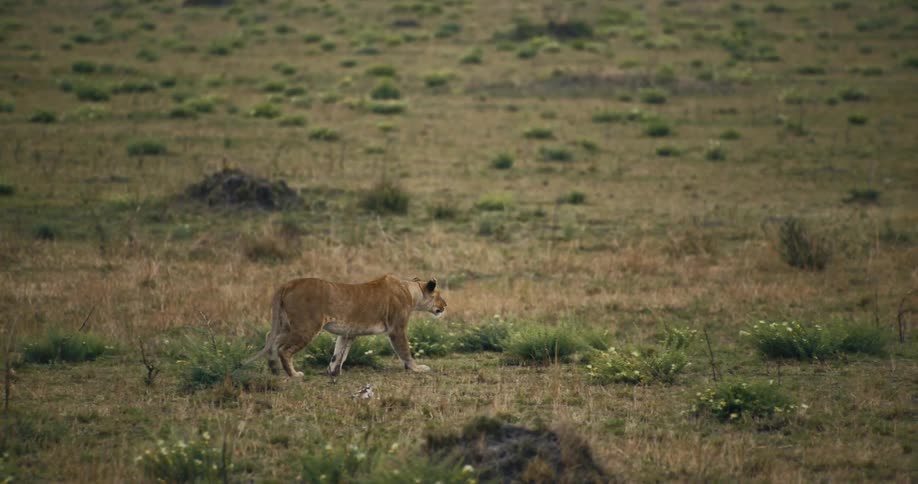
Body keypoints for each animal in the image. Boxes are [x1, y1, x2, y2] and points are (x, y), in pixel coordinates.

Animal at [245, 274, 447, 378]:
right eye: (438, 295)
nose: (445, 305)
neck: (410, 290)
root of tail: (288, 283)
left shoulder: (348, 332)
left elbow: (339, 353)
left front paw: (333, 371)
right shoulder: (396, 328)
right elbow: (405, 350)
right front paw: (417, 368)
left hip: (287, 324)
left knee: (271, 338)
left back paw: (274, 369)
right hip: (307, 326)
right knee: (284, 349)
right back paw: (293, 374)